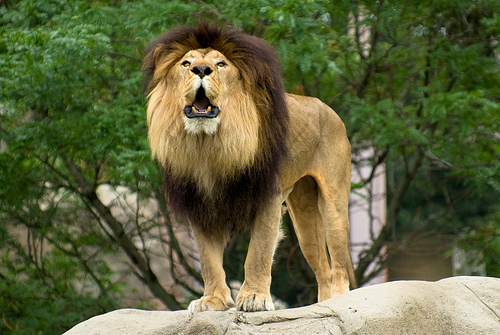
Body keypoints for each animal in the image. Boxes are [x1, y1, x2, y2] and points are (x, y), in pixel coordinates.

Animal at [144, 24, 356, 316]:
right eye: (186, 63)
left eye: (220, 64)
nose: (201, 70)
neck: (209, 144)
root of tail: (327, 108)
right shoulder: (199, 204)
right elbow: (208, 260)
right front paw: (213, 301)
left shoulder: (267, 198)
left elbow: (259, 251)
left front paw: (255, 298)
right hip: (303, 214)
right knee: (322, 268)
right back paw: (322, 306)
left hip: (333, 204)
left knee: (338, 263)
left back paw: (338, 301)